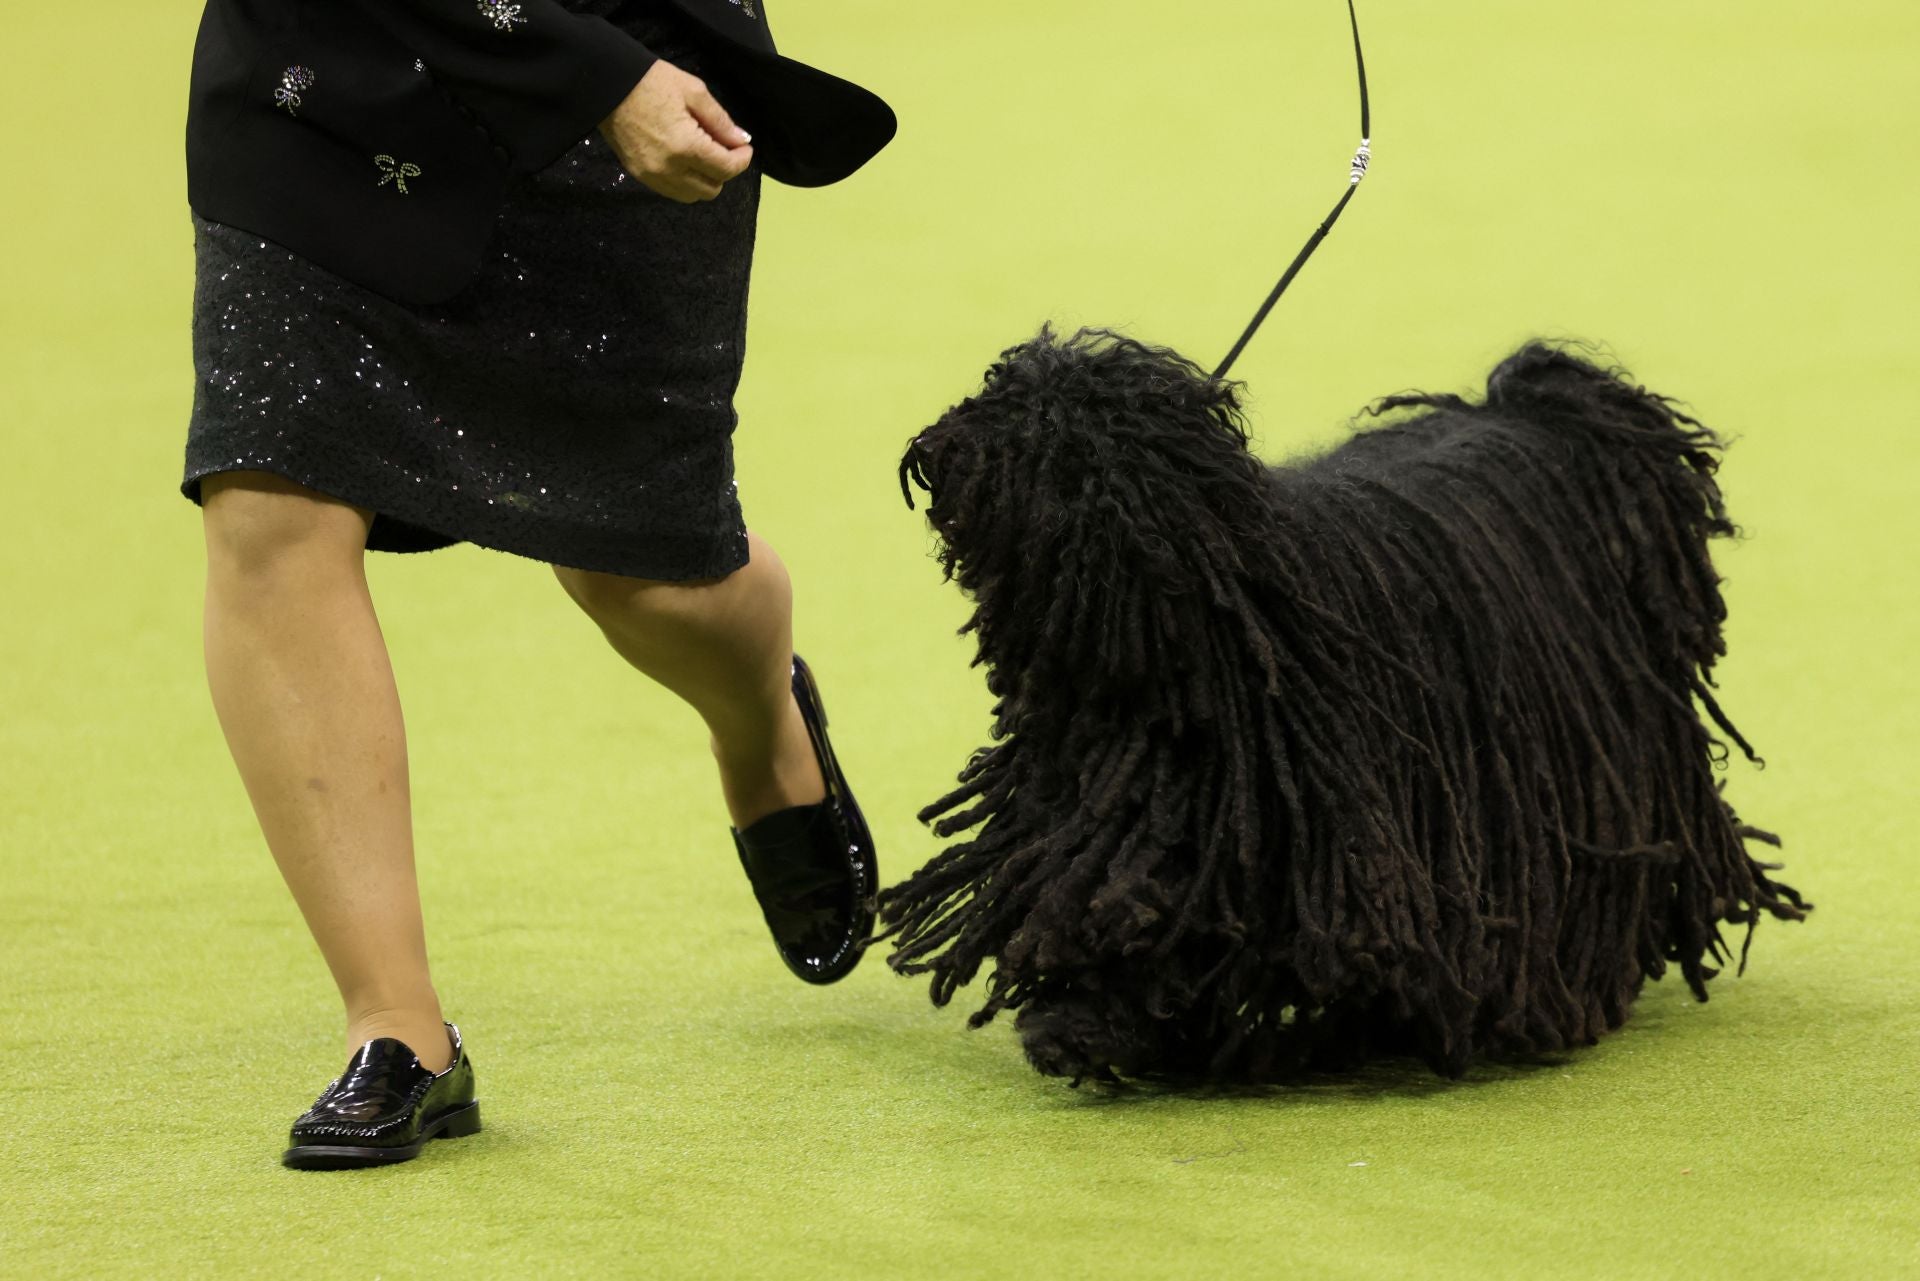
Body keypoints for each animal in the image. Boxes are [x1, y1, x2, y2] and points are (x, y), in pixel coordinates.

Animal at [879, 330, 1804, 1083]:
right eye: (997, 388)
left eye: (1049, 434)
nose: (934, 447)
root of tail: (1548, 413)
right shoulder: (1105, 814)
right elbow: (1104, 899)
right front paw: (1083, 1020)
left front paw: (1094, 1024)